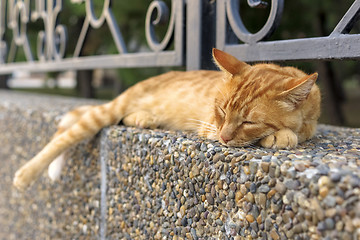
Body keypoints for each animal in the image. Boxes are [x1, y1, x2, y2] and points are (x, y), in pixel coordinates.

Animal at [12, 48, 320, 190]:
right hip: (105, 112)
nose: (224, 138)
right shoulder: (209, 124)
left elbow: (304, 129)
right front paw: (283, 134)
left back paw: (142, 117)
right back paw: (26, 174)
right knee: (63, 136)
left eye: (248, 121)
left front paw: (287, 132)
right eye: (221, 110)